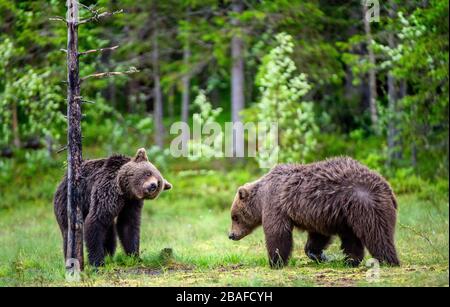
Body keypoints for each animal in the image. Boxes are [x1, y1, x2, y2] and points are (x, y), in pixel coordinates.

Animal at [230, 158, 400, 268]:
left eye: (234, 217)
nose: (231, 235)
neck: (261, 199)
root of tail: (387, 186)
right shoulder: (319, 214)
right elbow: (318, 236)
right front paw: (319, 255)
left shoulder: (276, 204)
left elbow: (277, 233)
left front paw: (275, 262)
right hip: (348, 214)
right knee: (351, 238)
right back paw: (350, 261)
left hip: (365, 203)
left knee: (377, 233)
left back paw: (387, 260)